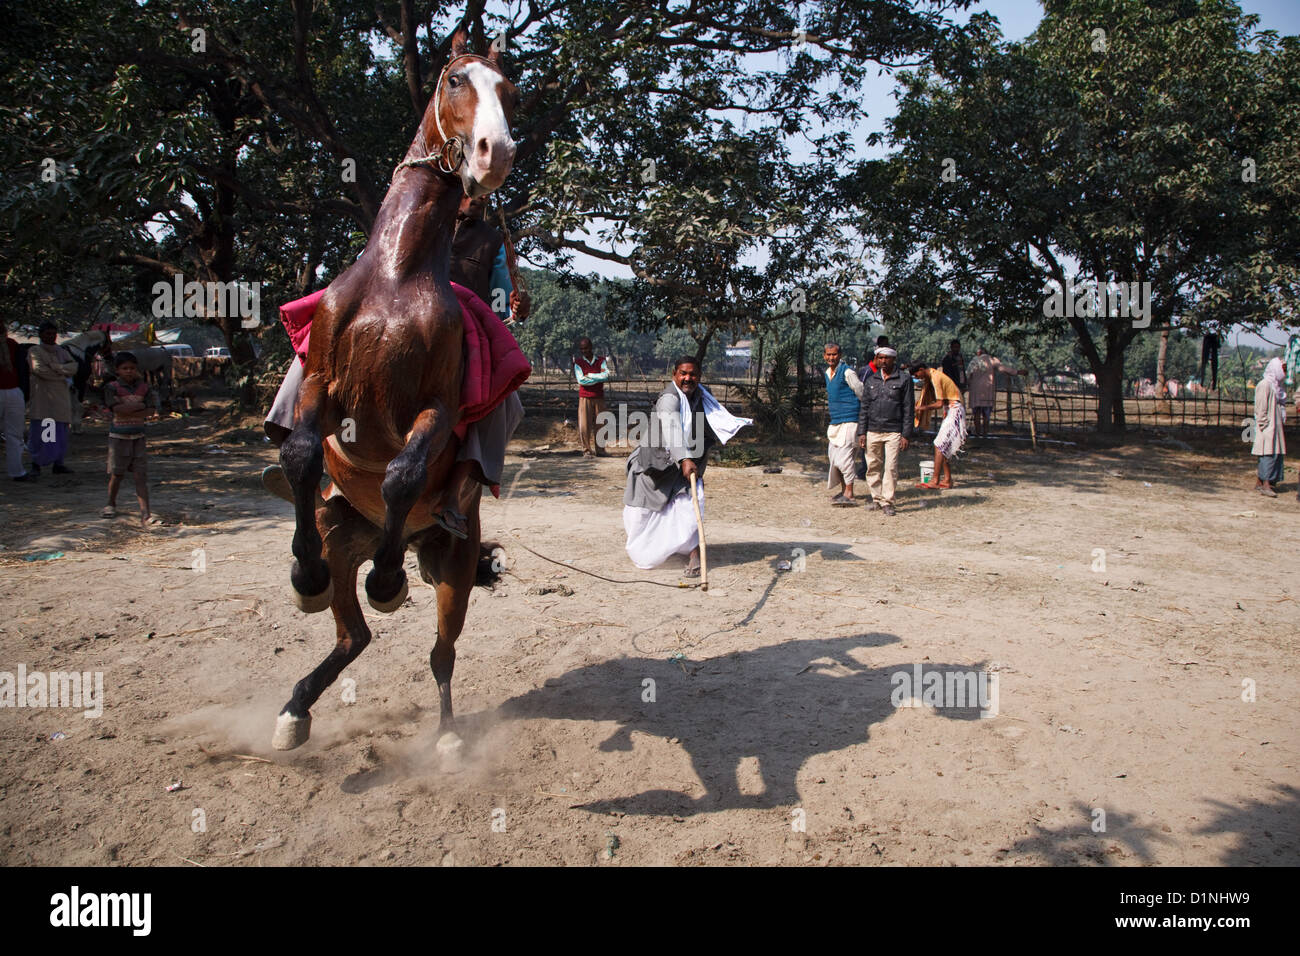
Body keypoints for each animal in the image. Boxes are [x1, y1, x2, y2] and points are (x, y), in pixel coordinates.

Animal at [270, 29, 517, 749]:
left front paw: (386, 582)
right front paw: (302, 575)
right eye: (455, 80)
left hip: (455, 564)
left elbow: (403, 473)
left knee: (441, 652)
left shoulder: (433, 409)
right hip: (339, 535)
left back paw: (446, 735)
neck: (396, 276)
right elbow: (300, 453)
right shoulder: (322, 387)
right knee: (352, 638)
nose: (495, 152)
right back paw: (295, 707)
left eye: (510, 91)